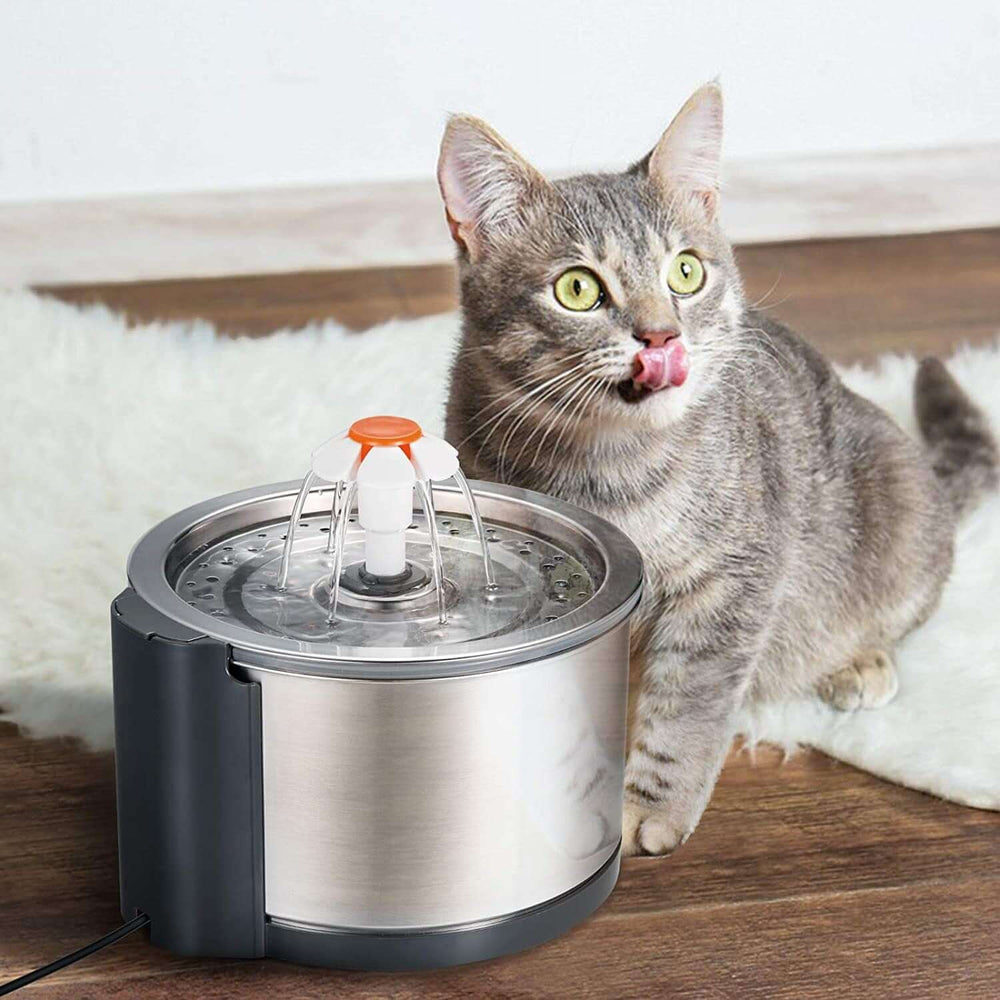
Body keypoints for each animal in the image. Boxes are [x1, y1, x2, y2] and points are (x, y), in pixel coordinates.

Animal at [436, 82, 1000, 856]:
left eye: (686, 271)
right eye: (577, 289)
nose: (661, 335)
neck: (607, 469)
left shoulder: (735, 582)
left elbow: (685, 710)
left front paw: (649, 809)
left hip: (894, 509)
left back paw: (860, 661)